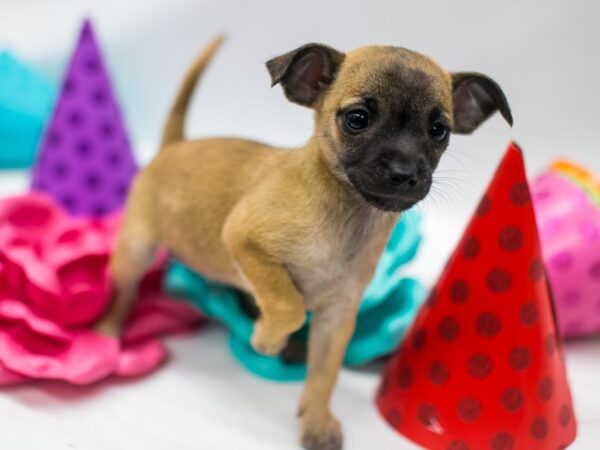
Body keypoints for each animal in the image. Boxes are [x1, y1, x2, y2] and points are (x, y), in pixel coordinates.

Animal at [97, 36, 510, 450]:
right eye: (357, 119)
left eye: (439, 130)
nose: (404, 173)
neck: (347, 216)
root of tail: (173, 145)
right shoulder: (245, 242)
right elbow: (288, 305)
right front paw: (266, 340)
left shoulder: (335, 319)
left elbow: (324, 375)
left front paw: (316, 420)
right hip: (135, 251)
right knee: (125, 291)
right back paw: (109, 332)